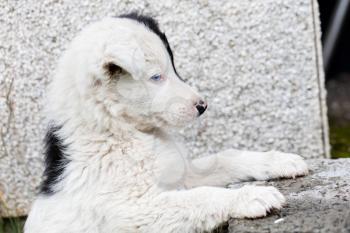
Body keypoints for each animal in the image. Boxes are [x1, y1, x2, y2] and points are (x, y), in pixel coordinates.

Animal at [24, 12, 308, 233]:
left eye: (172, 67)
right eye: (156, 77)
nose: (202, 106)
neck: (118, 128)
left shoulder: (183, 174)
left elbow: (225, 158)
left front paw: (279, 160)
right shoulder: (137, 209)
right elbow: (200, 198)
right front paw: (251, 196)